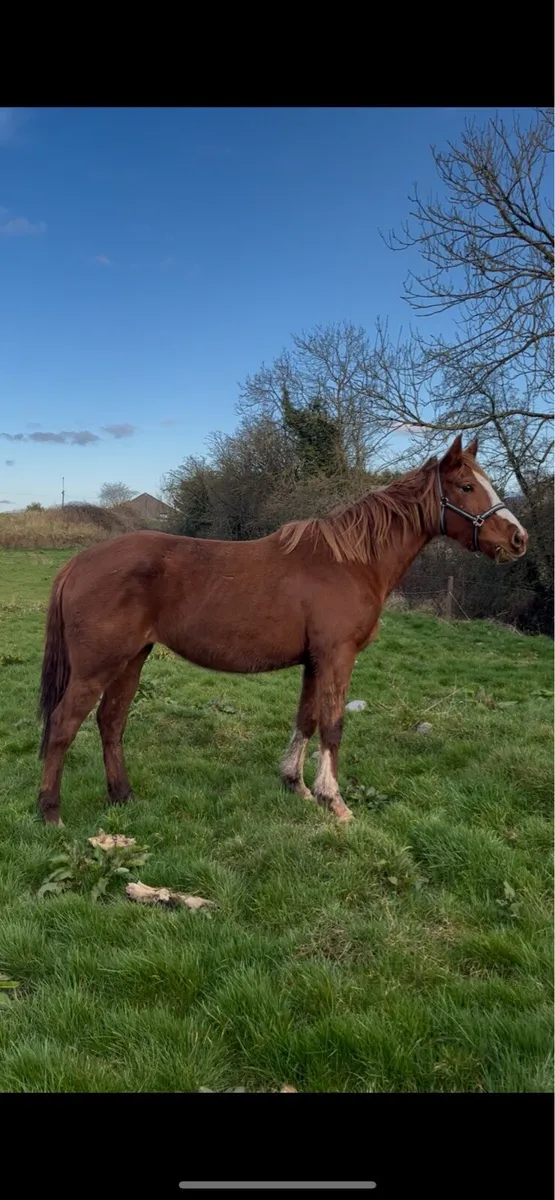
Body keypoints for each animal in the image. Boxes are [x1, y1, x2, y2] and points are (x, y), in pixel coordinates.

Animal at [37, 435, 527, 826]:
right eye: (466, 487)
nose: (518, 539)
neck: (351, 562)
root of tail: (79, 562)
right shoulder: (337, 656)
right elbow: (332, 725)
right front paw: (335, 802)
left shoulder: (314, 660)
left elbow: (306, 719)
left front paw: (297, 786)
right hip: (98, 666)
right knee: (63, 724)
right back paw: (51, 814)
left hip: (131, 659)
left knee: (110, 722)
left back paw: (123, 797)